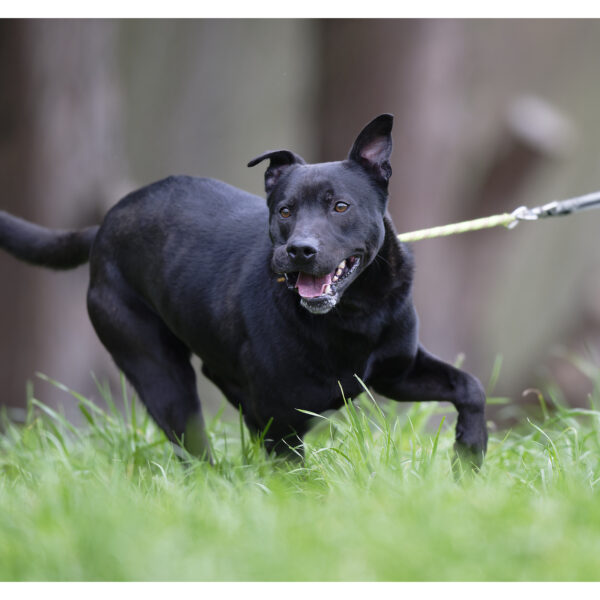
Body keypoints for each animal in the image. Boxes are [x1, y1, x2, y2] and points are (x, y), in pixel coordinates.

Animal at [0, 115, 488, 466]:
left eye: (340, 206)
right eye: (285, 211)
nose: (300, 250)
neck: (353, 312)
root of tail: (104, 226)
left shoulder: (397, 372)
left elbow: (470, 386)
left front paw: (469, 454)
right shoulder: (281, 420)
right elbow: (298, 478)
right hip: (160, 373)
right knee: (194, 451)